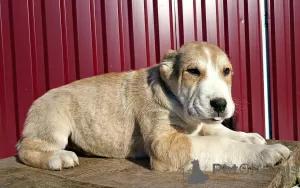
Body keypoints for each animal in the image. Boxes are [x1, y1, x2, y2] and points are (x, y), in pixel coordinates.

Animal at [16, 41, 290, 171]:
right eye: (193, 71)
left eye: (227, 71)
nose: (220, 104)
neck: (173, 96)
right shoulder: (165, 144)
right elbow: (219, 142)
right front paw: (264, 152)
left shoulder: (197, 123)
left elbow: (218, 130)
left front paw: (250, 137)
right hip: (54, 123)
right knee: (25, 149)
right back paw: (58, 158)